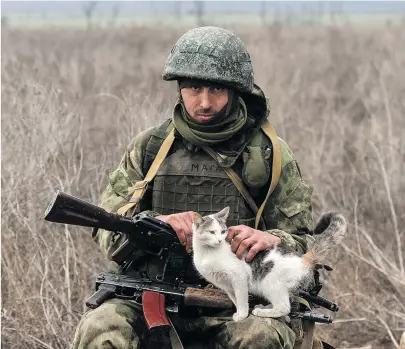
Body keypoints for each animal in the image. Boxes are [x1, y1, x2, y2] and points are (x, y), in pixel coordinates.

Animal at [191, 205, 346, 322]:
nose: (219, 240)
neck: (207, 252)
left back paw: (262, 311)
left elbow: (241, 299)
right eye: (211, 232)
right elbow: (235, 299)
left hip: (269, 283)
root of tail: (302, 258)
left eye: (223, 231)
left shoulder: (239, 278)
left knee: (284, 308)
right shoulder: (227, 286)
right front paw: (240, 312)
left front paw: (242, 315)